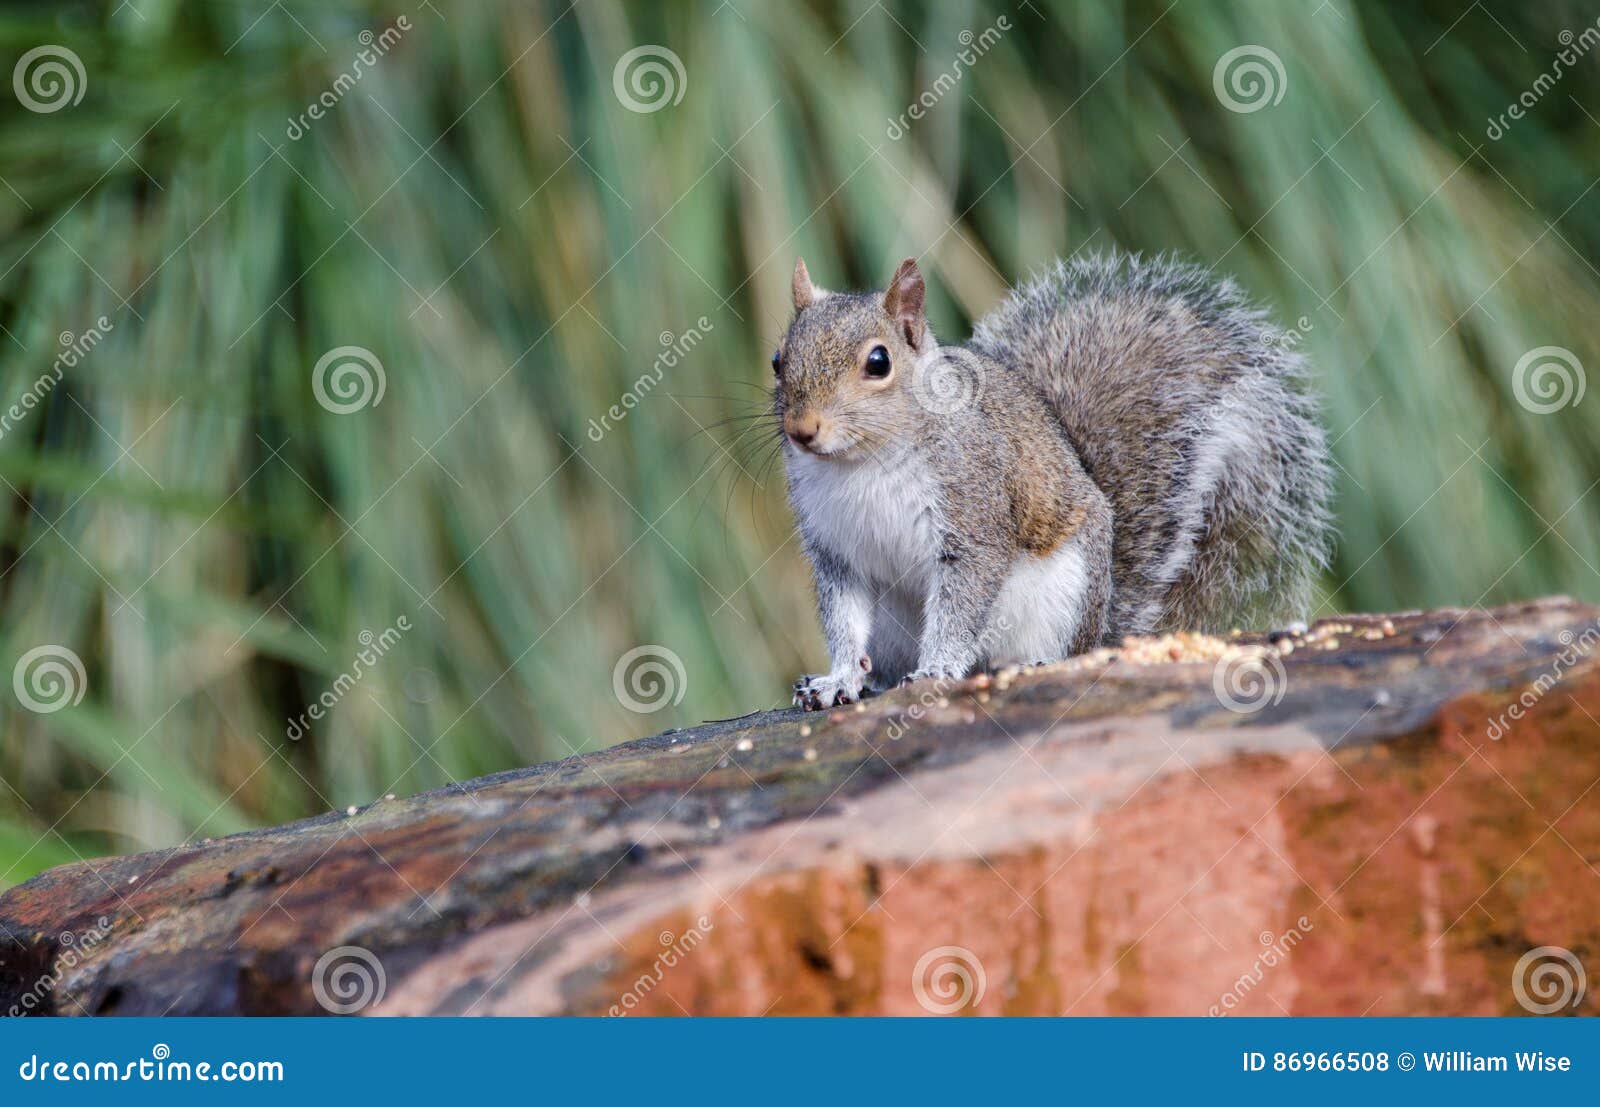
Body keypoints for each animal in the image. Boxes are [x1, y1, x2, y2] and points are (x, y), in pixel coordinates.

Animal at [774, 251, 1333, 711]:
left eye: (879, 361)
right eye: (779, 360)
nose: (802, 429)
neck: (862, 462)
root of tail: (1104, 623)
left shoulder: (974, 512)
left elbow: (962, 603)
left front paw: (935, 669)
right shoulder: (836, 551)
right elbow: (844, 620)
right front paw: (838, 679)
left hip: (1067, 593)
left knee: (1064, 651)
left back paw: (1036, 663)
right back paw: (875, 680)